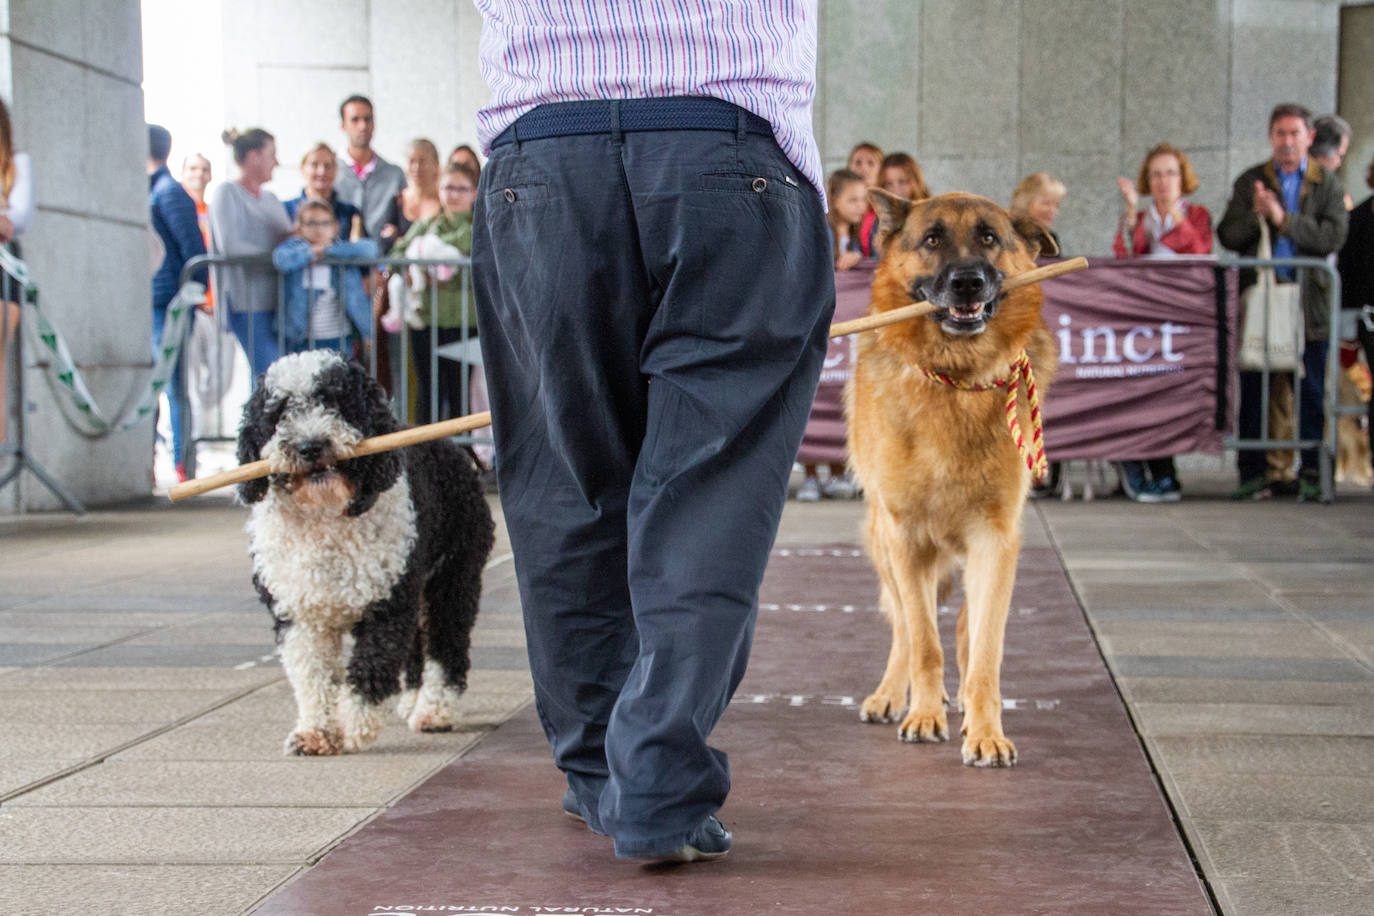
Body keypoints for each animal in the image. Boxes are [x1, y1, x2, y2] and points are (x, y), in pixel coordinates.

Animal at [239, 347, 497, 758]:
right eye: (279, 413)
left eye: (335, 402)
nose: (310, 446)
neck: (327, 518)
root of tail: (453, 448)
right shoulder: (299, 614)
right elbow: (313, 678)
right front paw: (315, 732)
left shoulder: (387, 603)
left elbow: (370, 667)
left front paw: (353, 724)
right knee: (417, 647)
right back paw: (412, 699)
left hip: (453, 580)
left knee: (446, 647)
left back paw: (434, 710)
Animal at [840, 192, 1055, 769]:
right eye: (932, 239)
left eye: (989, 237)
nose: (967, 283)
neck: (956, 379)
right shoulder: (906, 538)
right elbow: (922, 640)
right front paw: (923, 713)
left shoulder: (996, 540)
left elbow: (984, 648)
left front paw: (985, 731)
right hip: (883, 542)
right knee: (904, 626)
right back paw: (894, 695)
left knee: (963, 625)